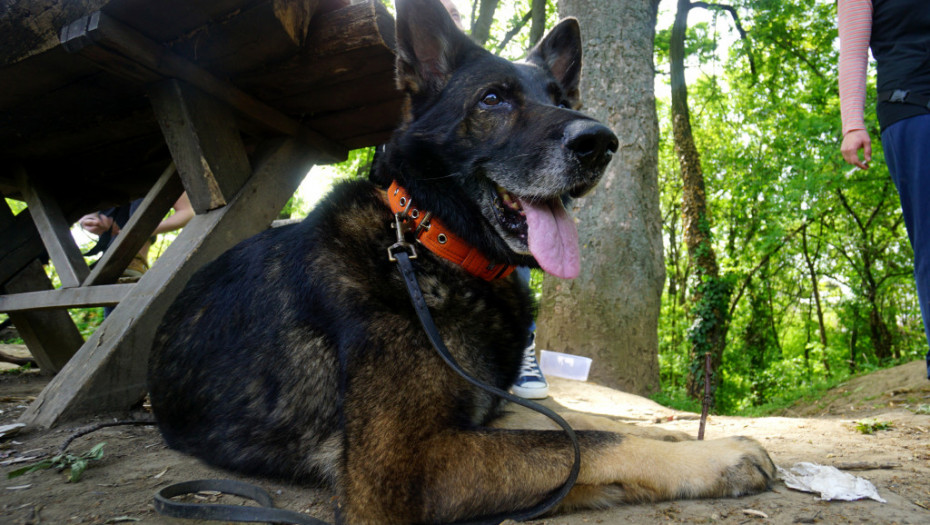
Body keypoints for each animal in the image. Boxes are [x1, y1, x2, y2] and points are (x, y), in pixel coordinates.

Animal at [147, 2, 776, 520]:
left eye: (561, 100)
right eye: (493, 100)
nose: (600, 142)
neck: (434, 247)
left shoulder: (485, 418)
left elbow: (578, 427)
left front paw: (689, 440)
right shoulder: (407, 465)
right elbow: (580, 441)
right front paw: (717, 456)